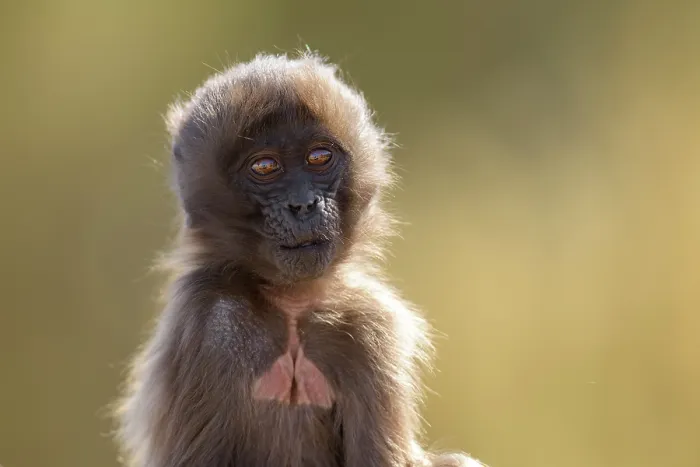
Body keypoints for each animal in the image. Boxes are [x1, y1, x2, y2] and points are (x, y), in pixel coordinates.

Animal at [113, 52, 485, 467]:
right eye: (265, 167)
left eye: (319, 158)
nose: (303, 205)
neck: (289, 303)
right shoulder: (208, 321)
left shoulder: (370, 327)